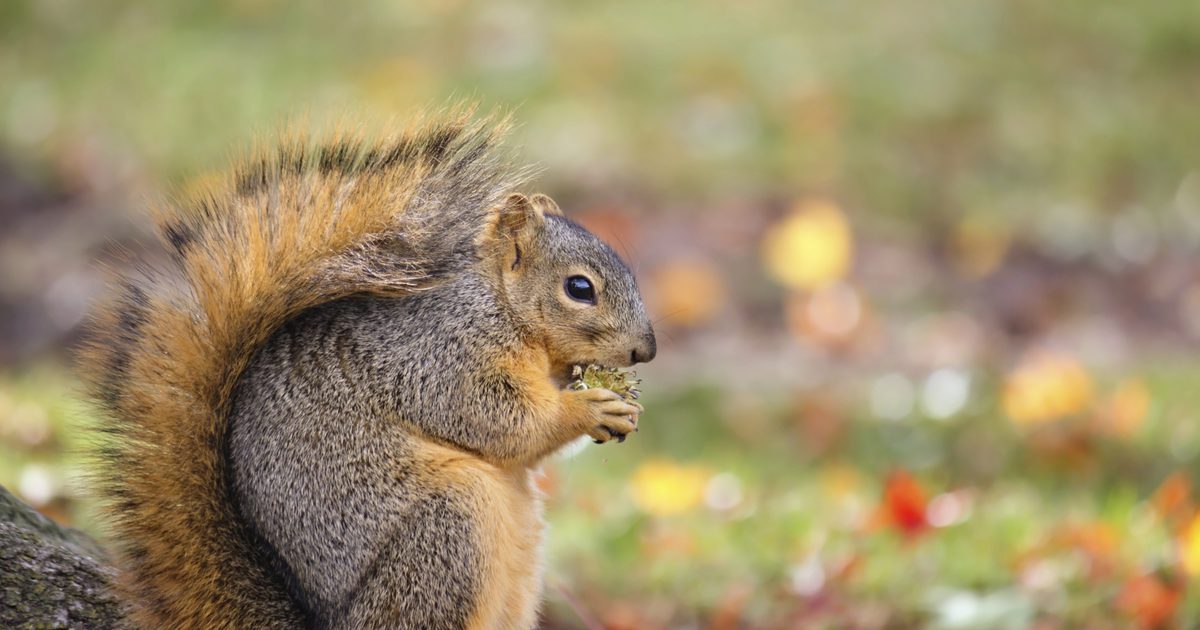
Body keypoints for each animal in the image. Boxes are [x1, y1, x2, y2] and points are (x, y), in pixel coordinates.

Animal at [77, 110, 657, 624]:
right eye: (579, 288)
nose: (646, 351)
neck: (500, 304)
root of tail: (330, 623)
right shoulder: (438, 357)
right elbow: (495, 418)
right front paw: (588, 409)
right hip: (448, 532)